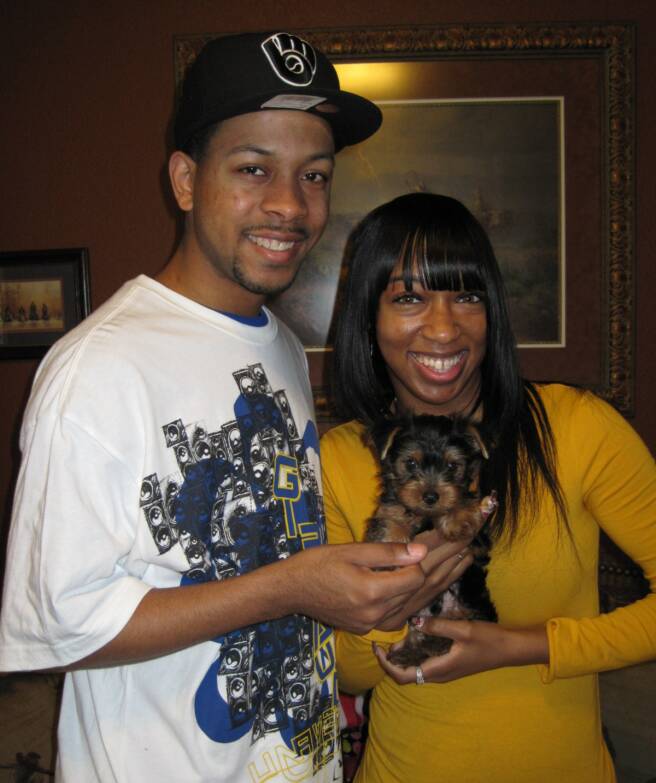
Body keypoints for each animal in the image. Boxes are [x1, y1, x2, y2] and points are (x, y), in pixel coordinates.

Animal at [364, 414, 498, 666]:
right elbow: (389, 521)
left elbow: (460, 505)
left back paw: (435, 644)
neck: (425, 516)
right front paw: (393, 545)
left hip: (469, 598)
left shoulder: (479, 543)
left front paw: (457, 516)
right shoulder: (389, 509)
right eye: (411, 463)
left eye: (452, 466)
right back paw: (408, 653)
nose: (430, 496)